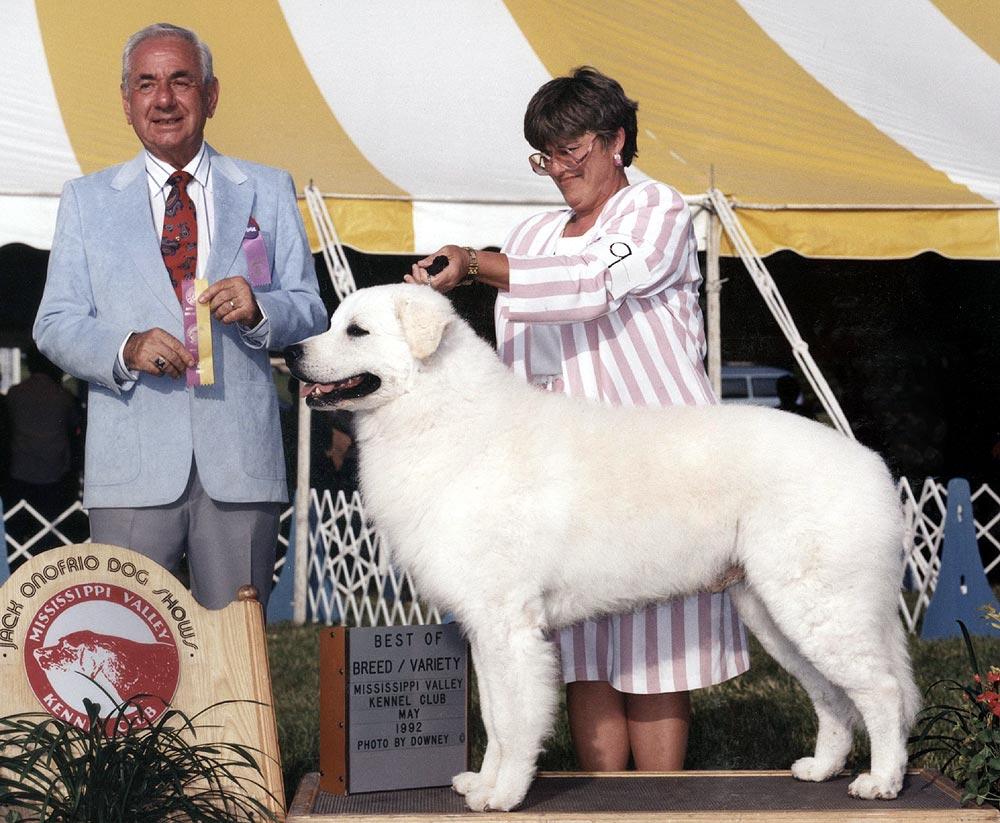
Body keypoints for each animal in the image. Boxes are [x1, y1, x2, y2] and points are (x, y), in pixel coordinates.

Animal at [286, 284, 916, 812]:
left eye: (356, 332)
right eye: (333, 323)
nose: (290, 351)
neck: (440, 415)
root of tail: (872, 465)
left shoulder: (508, 625)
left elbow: (513, 721)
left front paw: (505, 795)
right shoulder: (484, 629)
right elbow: (493, 716)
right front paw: (482, 785)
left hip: (819, 606)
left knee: (882, 693)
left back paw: (881, 782)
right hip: (773, 613)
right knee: (833, 697)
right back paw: (822, 768)